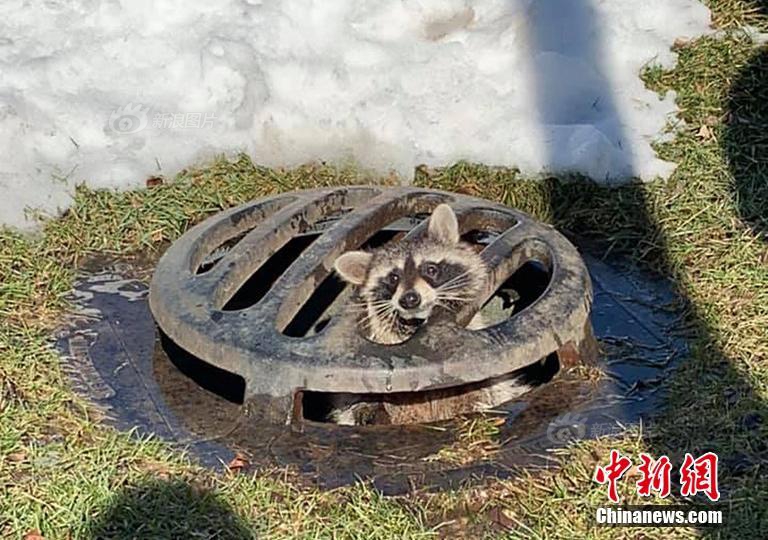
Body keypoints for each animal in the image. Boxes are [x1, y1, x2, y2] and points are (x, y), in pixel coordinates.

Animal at [328, 204, 540, 426]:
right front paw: (368, 410)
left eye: (430, 269)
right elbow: (355, 400)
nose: (410, 299)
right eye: (393, 278)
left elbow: (484, 388)